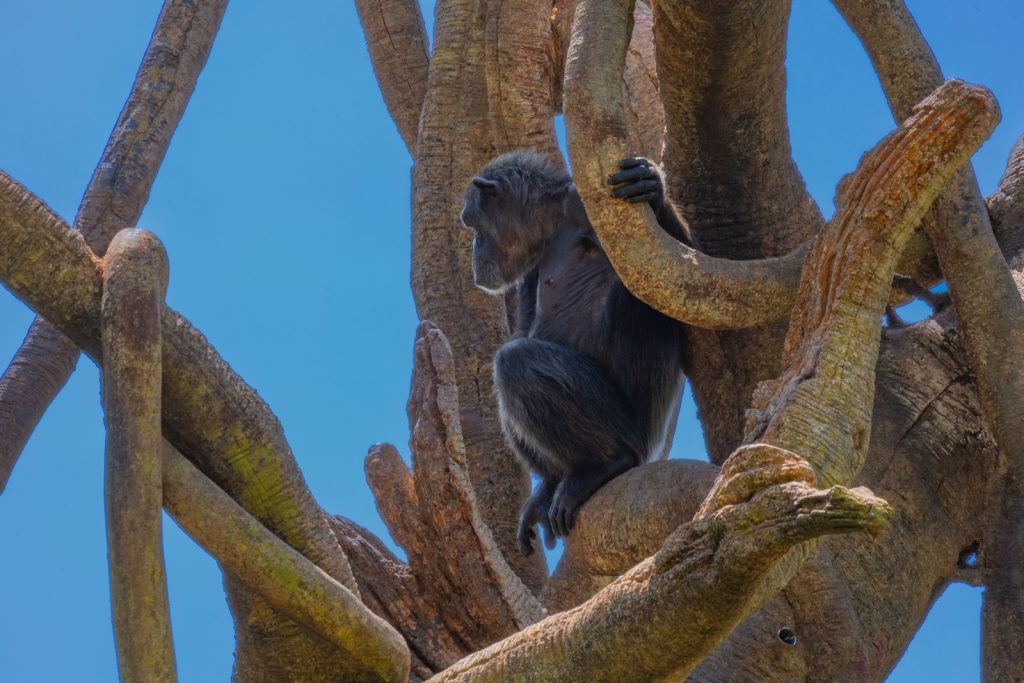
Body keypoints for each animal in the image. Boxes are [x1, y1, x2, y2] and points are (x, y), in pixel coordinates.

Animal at [461, 148, 694, 555]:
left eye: (473, 224)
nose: (474, 247)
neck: (555, 223)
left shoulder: (590, 207)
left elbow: (670, 289)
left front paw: (651, 185)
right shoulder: (529, 271)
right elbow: (525, 324)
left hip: (633, 434)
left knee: (514, 361)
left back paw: (604, 465)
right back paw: (549, 486)